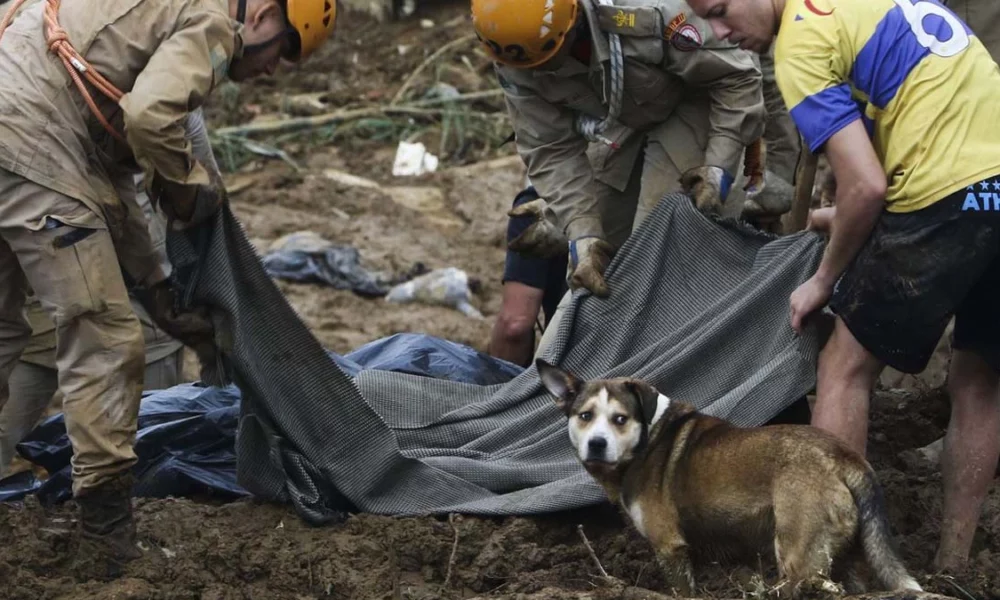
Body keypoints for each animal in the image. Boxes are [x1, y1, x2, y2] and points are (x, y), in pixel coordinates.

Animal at [540, 358, 920, 596]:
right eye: (585, 416)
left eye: (620, 419)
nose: (597, 444)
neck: (648, 437)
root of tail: (844, 456)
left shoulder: (670, 547)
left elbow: (682, 590)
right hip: (846, 552)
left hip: (798, 556)